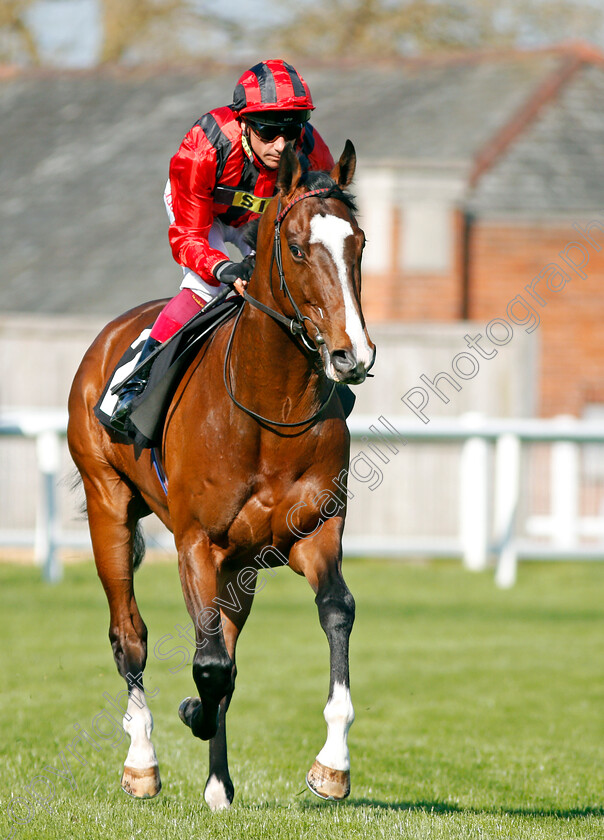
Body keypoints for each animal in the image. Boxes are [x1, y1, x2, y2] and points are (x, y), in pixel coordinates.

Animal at [68, 141, 376, 812]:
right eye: (295, 247)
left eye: (360, 244)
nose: (352, 356)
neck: (269, 407)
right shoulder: (196, 543)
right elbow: (209, 666)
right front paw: (189, 712)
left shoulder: (312, 533)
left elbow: (336, 612)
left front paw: (332, 766)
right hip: (108, 505)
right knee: (130, 635)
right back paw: (142, 764)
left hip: (241, 566)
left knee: (223, 650)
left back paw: (217, 785)